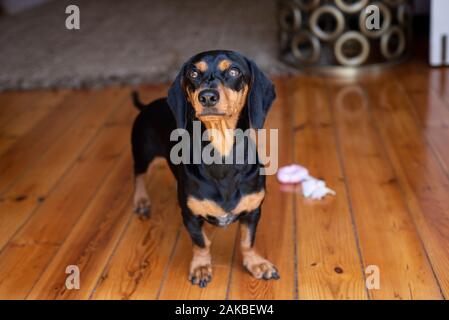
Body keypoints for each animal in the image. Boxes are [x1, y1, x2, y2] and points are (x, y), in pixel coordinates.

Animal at [130, 49, 278, 288]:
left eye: (234, 71)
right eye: (193, 73)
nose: (207, 96)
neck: (222, 153)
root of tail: (148, 105)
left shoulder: (253, 211)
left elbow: (247, 241)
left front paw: (256, 264)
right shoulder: (189, 215)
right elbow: (200, 243)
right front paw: (200, 267)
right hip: (143, 153)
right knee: (138, 174)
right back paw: (141, 200)